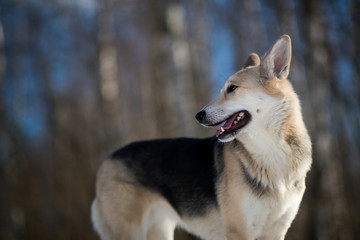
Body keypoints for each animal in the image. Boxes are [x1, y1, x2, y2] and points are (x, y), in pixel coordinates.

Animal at [90, 35, 312, 240]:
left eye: (232, 88)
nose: (198, 115)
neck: (271, 152)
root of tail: (107, 160)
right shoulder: (238, 230)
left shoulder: (276, 231)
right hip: (130, 231)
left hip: (160, 230)